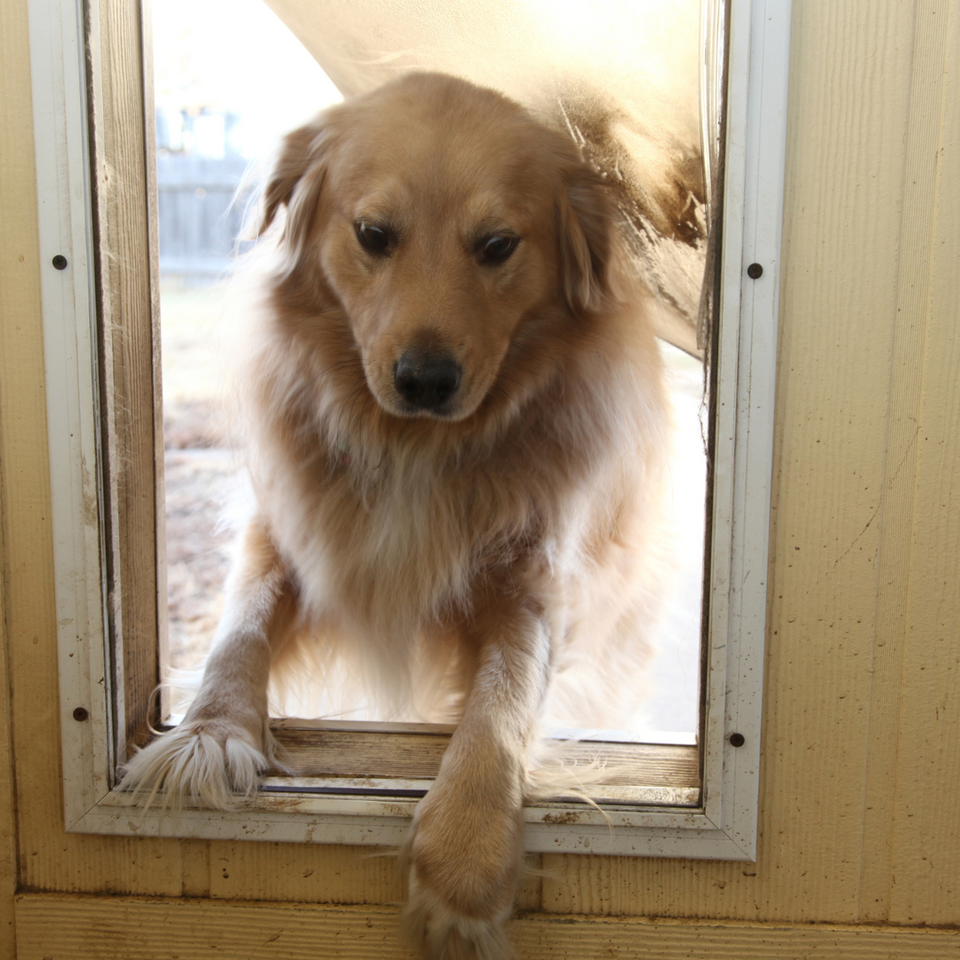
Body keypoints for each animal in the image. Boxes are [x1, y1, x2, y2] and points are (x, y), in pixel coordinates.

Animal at [124, 75, 668, 960]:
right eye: (374, 235)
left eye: (497, 245)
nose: (425, 379)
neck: (414, 448)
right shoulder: (282, 538)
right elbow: (238, 630)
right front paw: (209, 732)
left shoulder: (534, 592)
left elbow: (501, 706)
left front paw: (464, 863)